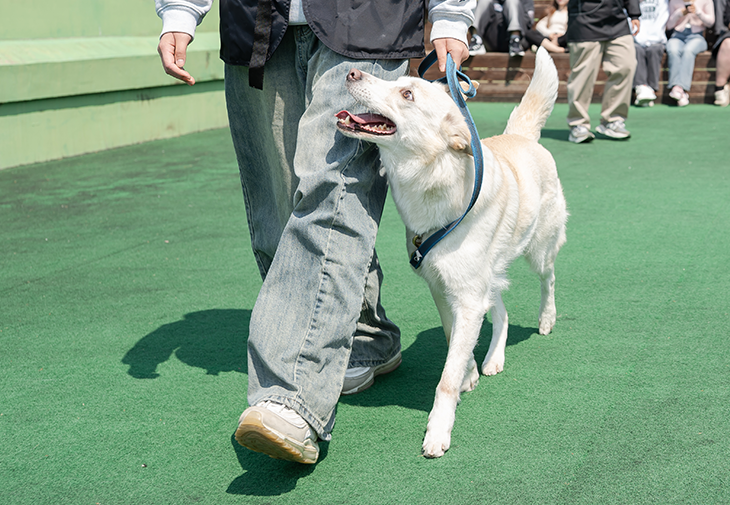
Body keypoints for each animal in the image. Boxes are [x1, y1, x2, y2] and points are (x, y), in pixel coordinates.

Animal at [336, 48, 568, 458]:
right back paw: (493, 360)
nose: (351, 72)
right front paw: (469, 372)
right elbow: (452, 338)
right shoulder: (444, 289)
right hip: (486, 277)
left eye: (407, 94)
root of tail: (519, 135)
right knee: (502, 311)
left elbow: (445, 378)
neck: (434, 180)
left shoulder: (467, 296)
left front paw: (438, 431)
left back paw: (546, 319)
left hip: (539, 250)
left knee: (549, 279)